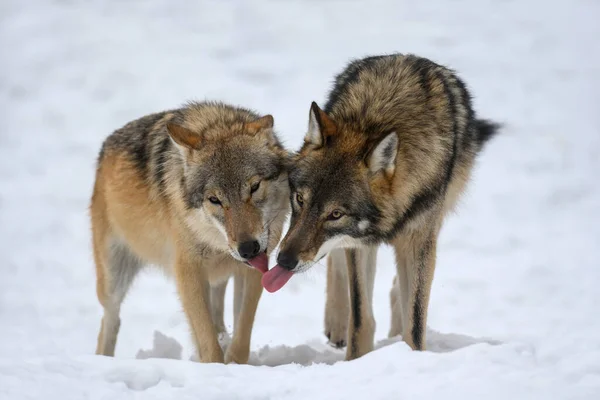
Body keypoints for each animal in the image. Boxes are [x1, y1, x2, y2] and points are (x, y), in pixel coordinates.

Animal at [89, 101, 292, 364]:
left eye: (254, 187)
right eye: (214, 199)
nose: (248, 249)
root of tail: (106, 146)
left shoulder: (253, 271)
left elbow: (242, 331)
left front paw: (234, 363)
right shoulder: (188, 272)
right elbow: (207, 340)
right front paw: (215, 366)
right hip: (113, 279)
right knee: (110, 319)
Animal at [262, 51, 502, 360]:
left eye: (335, 214)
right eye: (300, 199)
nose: (283, 261)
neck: (375, 121)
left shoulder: (418, 237)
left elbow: (415, 320)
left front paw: (412, 355)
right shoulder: (358, 244)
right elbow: (361, 317)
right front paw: (356, 359)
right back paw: (336, 324)